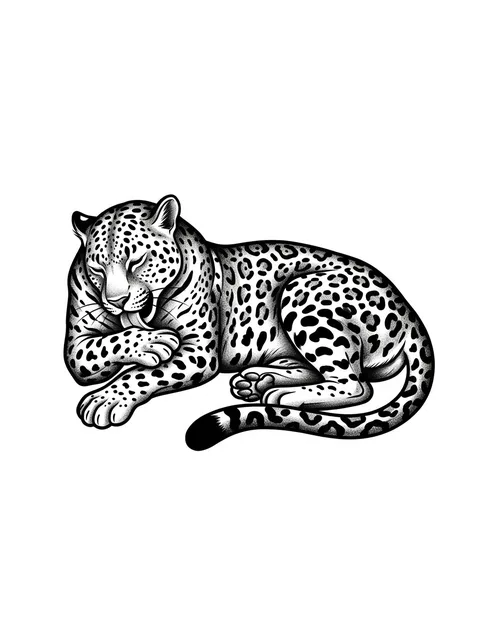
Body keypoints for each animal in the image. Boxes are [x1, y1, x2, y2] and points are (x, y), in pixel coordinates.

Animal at [65, 194, 434, 450]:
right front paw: (148, 342)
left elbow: (143, 374)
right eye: (97, 268)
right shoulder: (76, 345)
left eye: (138, 260)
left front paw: (106, 399)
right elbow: (101, 347)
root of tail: (405, 305)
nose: (115, 301)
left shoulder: (200, 352)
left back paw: (283, 394)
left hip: (302, 293)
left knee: (357, 384)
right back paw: (259, 382)